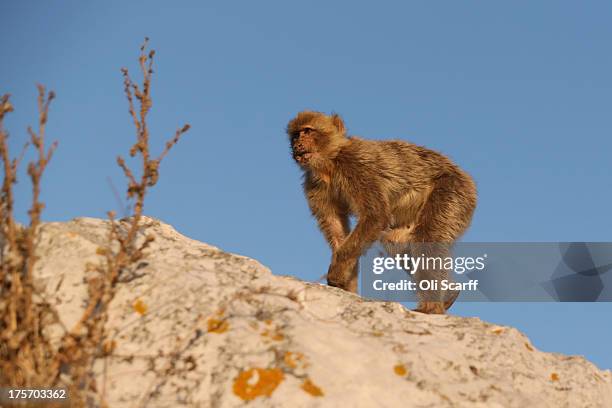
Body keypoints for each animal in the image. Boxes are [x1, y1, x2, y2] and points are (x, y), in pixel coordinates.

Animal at [286, 110, 478, 314]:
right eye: (295, 135)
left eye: (308, 131)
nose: (297, 145)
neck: (330, 164)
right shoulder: (314, 185)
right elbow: (338, 233)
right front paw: (347, 285)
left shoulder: (356, 167)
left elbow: (376, 215)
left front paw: (337, 271)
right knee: (395, 241)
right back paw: (449, 294)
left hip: (453, 193)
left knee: (426, 238)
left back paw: (431, 307)